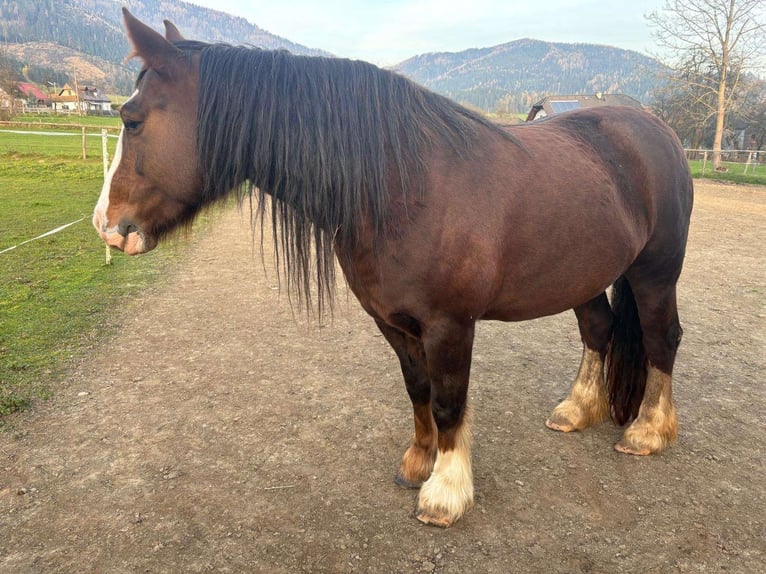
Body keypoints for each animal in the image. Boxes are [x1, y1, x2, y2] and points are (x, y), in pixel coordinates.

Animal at [93, 10, 692, 532]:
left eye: (132, 120)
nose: (107, 225)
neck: (403, 184)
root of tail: (656, 128)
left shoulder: (450, 326)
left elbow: (449, 400)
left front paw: (445, 492)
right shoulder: (392, 320)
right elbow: (417, 388)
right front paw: (418, 462)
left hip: (655, 273)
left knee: (661, 337)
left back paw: (648, 431)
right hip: (581, 276)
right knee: (599, 330)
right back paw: (578, 409)